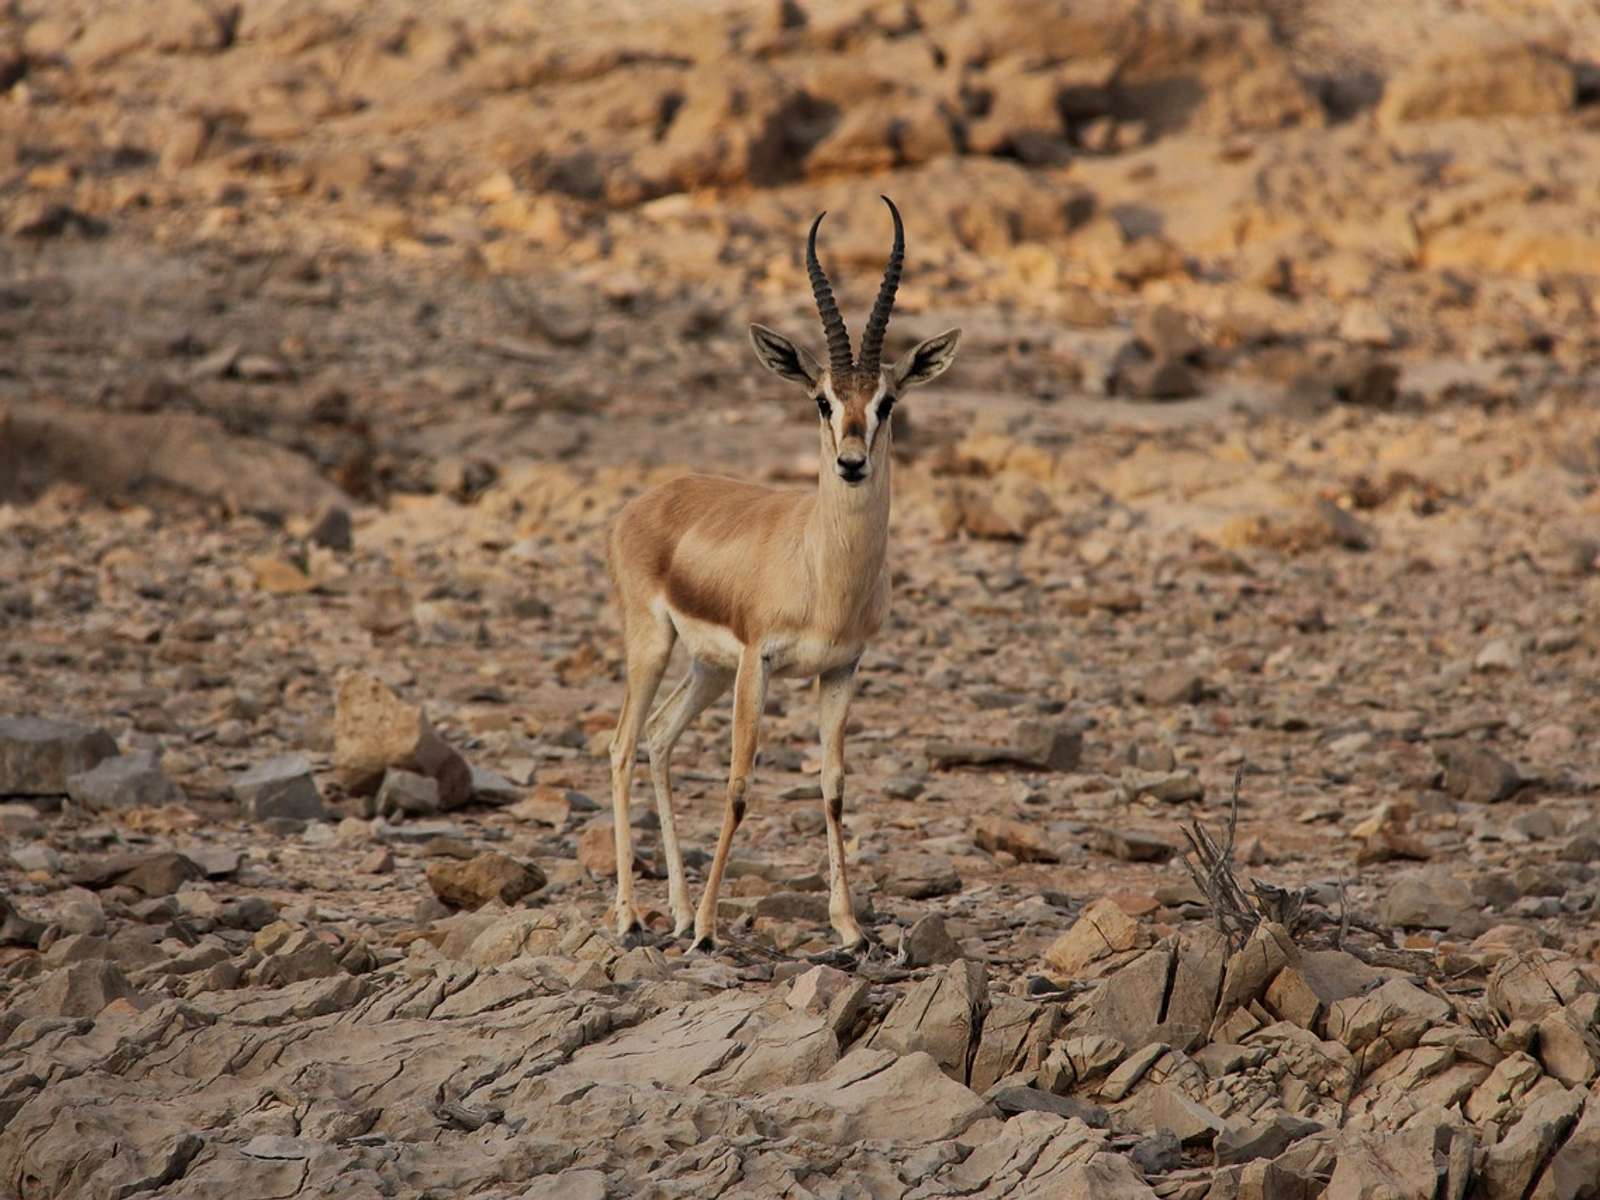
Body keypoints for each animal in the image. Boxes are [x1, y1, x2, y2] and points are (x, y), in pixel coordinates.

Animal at [605, 197, 961, 954]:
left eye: (887, 401)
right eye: (822, 400)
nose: (852, 463)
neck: (824, 571)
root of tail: (647, 500)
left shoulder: (842, 668)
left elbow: (833, 787)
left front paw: (850, 927)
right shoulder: (757, 662)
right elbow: (740, 784)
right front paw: (712, 931)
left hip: (705, 668)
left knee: (658, 738)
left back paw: (676, 909)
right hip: (654, 644)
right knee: (621, 745)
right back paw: (632, 916)